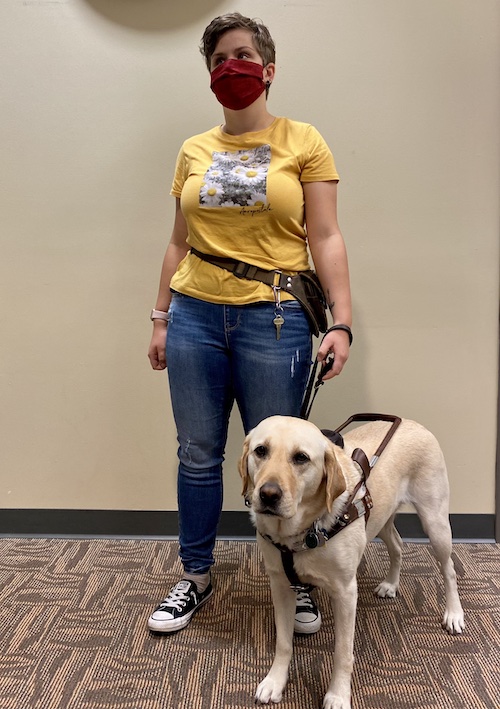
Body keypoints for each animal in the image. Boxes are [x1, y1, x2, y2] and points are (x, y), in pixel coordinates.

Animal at [238, 414, 464, 708]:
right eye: (261, 451)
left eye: (301, 458)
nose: (268, 494)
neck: (302, 532)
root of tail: (412, 422)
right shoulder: (280, 585)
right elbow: (284, 642)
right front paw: (275, 682)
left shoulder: (345, 593)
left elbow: (342, 651)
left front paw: (338, 694)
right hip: (380, 517)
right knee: (398, 545)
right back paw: (391, 584)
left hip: (435, 521)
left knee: (449, 568)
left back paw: (454, 613)